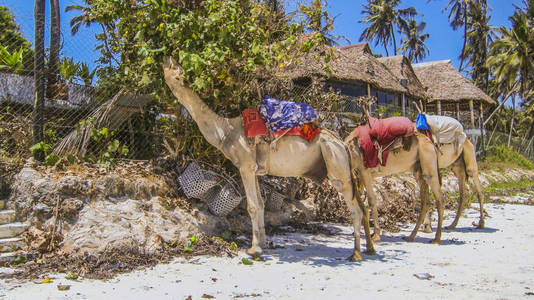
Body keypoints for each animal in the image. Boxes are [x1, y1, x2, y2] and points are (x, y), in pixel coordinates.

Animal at [163, 57, 376, 262]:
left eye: (176, 71)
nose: (168, 58)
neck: (225, 132)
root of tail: (342, 143)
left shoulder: (245, 166)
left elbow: (252, 205)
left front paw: (254, 249)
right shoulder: (256, 170)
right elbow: (260, 204)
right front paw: (262, 244)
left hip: (336, 162)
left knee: (355, 209)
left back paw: (356, 254)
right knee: (361, 205)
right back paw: (369, 249)